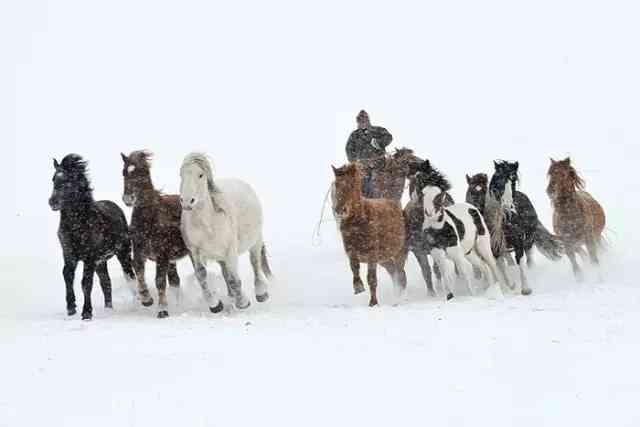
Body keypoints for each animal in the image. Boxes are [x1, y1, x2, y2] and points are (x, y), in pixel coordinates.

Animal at [49, 155, 136, 320]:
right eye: (53, 179)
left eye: (69, 180)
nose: (52, 202)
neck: (78, 225)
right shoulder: (69, 254)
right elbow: (67, 276)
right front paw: (71, 308)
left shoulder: (89, 257)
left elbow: (86, 282)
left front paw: (86, 313)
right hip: (101, 262)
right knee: (106, 282)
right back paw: (109, 308)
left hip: (122, 254)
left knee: (130, 275)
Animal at [120, 150, 190, 318]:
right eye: (124, 172)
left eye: (143, 172)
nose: (128, 199)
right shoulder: (139, 253)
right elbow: (139, 273)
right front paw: (146, 299)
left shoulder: (162, 256)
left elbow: (159, 281)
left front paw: (162, 310)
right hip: (172, 260)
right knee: (175, 282)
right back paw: (177, 307)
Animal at [179, 152, 272, 312]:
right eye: (181, 175)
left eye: (200, 175)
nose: (186, 201)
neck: (208, 225)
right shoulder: (195, 252)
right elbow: (201, 276)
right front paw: (215, 305)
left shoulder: (230, 251)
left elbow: (235, 279)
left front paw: (243, 303)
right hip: (220, 256)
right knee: (224, 272)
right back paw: (231, 296)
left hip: (255, 241)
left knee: (255, 263)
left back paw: (261, 293)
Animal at [332, 162, 408, 306]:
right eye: (336, 184)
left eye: (351, 185)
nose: (339, 210)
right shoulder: (351, 252)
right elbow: (354, 268)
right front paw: (358, 287)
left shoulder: (372, 255)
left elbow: (371, 279)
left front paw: (373, 302)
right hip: (383, 258)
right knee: (392, 269)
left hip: (398, 252)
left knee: (399, 270)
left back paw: (401, 290)